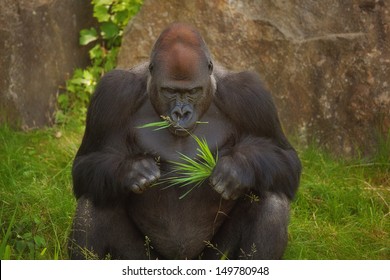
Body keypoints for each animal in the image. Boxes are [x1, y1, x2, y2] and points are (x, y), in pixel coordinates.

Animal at [68, 22, 302, 260]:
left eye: (193, 91)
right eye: (170, 91)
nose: (181, 113)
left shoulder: (250, 95)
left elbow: (287, 160)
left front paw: (236, 168)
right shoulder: (112, 93)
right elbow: (84, 164)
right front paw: (131, 170)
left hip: (213, 258)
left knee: (272, 199)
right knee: (96, 195)